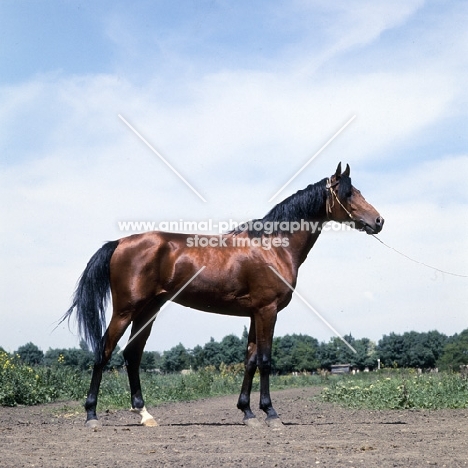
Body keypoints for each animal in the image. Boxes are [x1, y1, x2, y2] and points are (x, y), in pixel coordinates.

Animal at [62, 164, 384, 428]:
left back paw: (144, 414)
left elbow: (250, 360)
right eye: (349, 193)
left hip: (148, 311)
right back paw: (91, 416)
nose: (379, 221)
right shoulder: (267, 311)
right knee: (103, 351)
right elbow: (265, 360)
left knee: (132, 354)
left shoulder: (255, 313)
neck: (273, 246)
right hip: (126, 310)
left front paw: (248, 413)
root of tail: (119, 243)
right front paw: (271, 414)